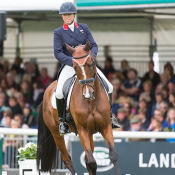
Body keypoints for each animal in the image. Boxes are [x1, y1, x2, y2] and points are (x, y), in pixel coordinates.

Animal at [36, 40, 120, 175]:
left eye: (91, 64)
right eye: (74, 67)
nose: (87, 94)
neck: (92, 103)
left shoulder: (105, 126)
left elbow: (113, 155)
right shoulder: (82, 130)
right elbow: (91, 162)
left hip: (90, 133)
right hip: (56, 133)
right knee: (67, 159)